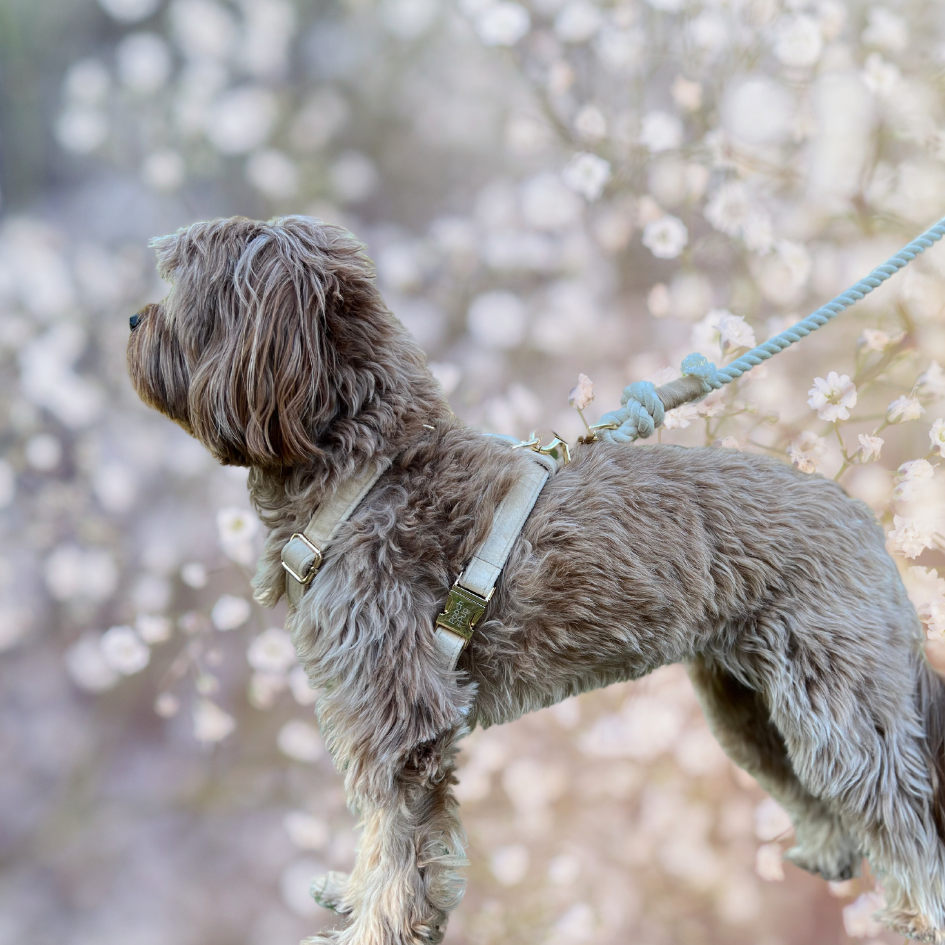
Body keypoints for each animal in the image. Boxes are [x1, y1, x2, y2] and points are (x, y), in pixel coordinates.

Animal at [127, 216, 944, 944]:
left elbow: (396, 846)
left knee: (900, 815)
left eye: (181, 287)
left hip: (839, 709)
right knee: (815, 794)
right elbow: (387, 841)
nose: (132, 317)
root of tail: (865, 520)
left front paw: (374, 928)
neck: (370, 469)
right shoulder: (374, 712)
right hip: (748, 708)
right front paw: (357, 898)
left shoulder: (400, 718)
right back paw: (825, 854)